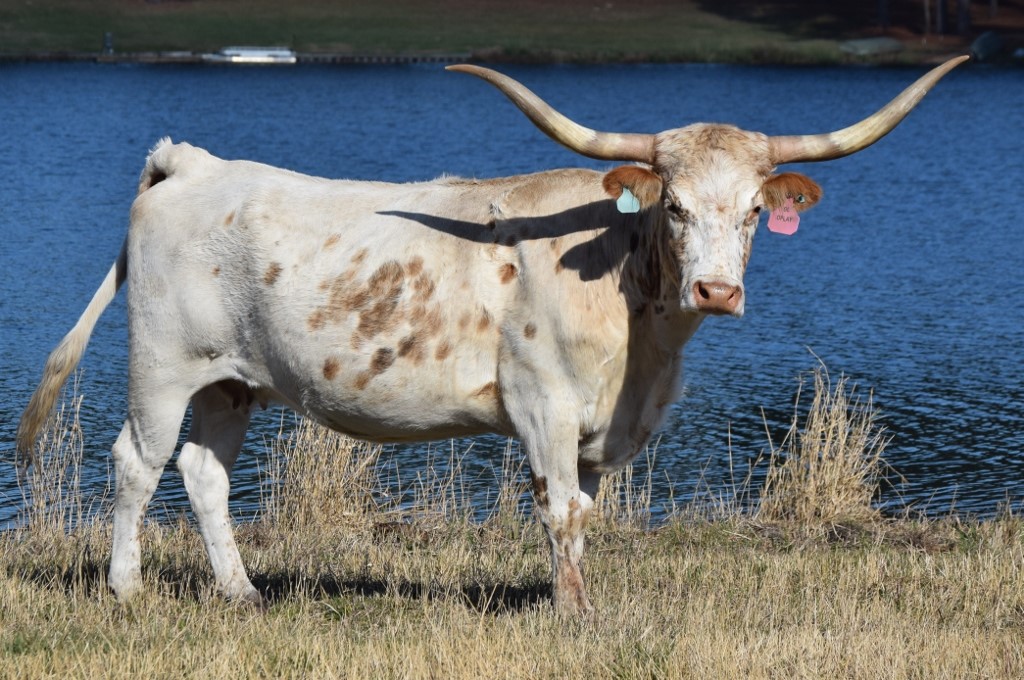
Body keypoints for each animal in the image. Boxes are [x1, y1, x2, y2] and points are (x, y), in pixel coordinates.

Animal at [17, 56, 967, 616]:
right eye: (674, 204)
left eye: (753, 214)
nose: (717, 288)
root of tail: (191, 163)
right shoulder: (543, 406)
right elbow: (558, 511)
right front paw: (575, 615)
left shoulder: (601, 427)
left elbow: (584, 511)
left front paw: (576, 602)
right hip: (163, 365)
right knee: (136, 463)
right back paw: (126, 589)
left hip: (232, 381)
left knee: (205, 473)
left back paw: (244, 593)